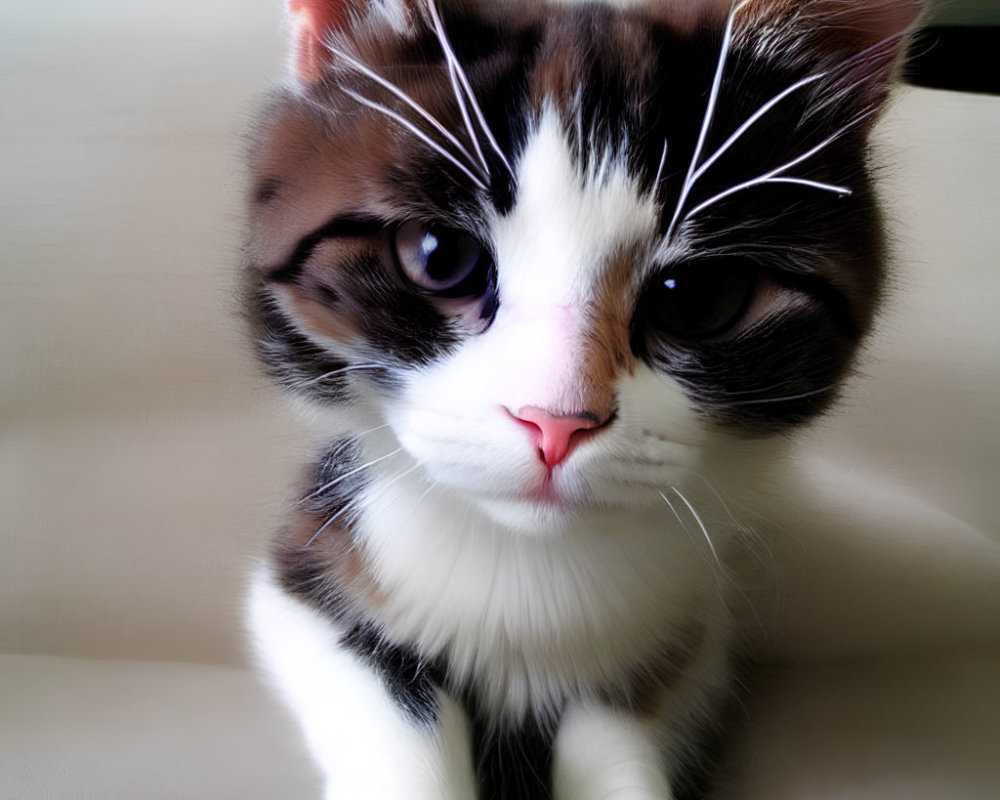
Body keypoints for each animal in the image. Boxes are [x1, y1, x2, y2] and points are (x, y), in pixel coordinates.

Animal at [240, 0, 920, 796]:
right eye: (439, 255)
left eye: (700, 296)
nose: (555, 422)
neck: (529, 575)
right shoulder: (312, 562)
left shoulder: (684, 643)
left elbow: (623, 732)